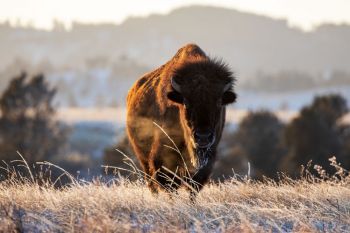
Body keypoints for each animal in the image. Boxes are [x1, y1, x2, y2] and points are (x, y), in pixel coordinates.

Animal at [126, 43, 235, 195]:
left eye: (219, 102)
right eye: (186, 102)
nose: (203, 137)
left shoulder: (208, 158)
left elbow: (193, 186)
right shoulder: (163, 156)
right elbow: (169, 183)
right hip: (143, 157)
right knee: (152, 182)